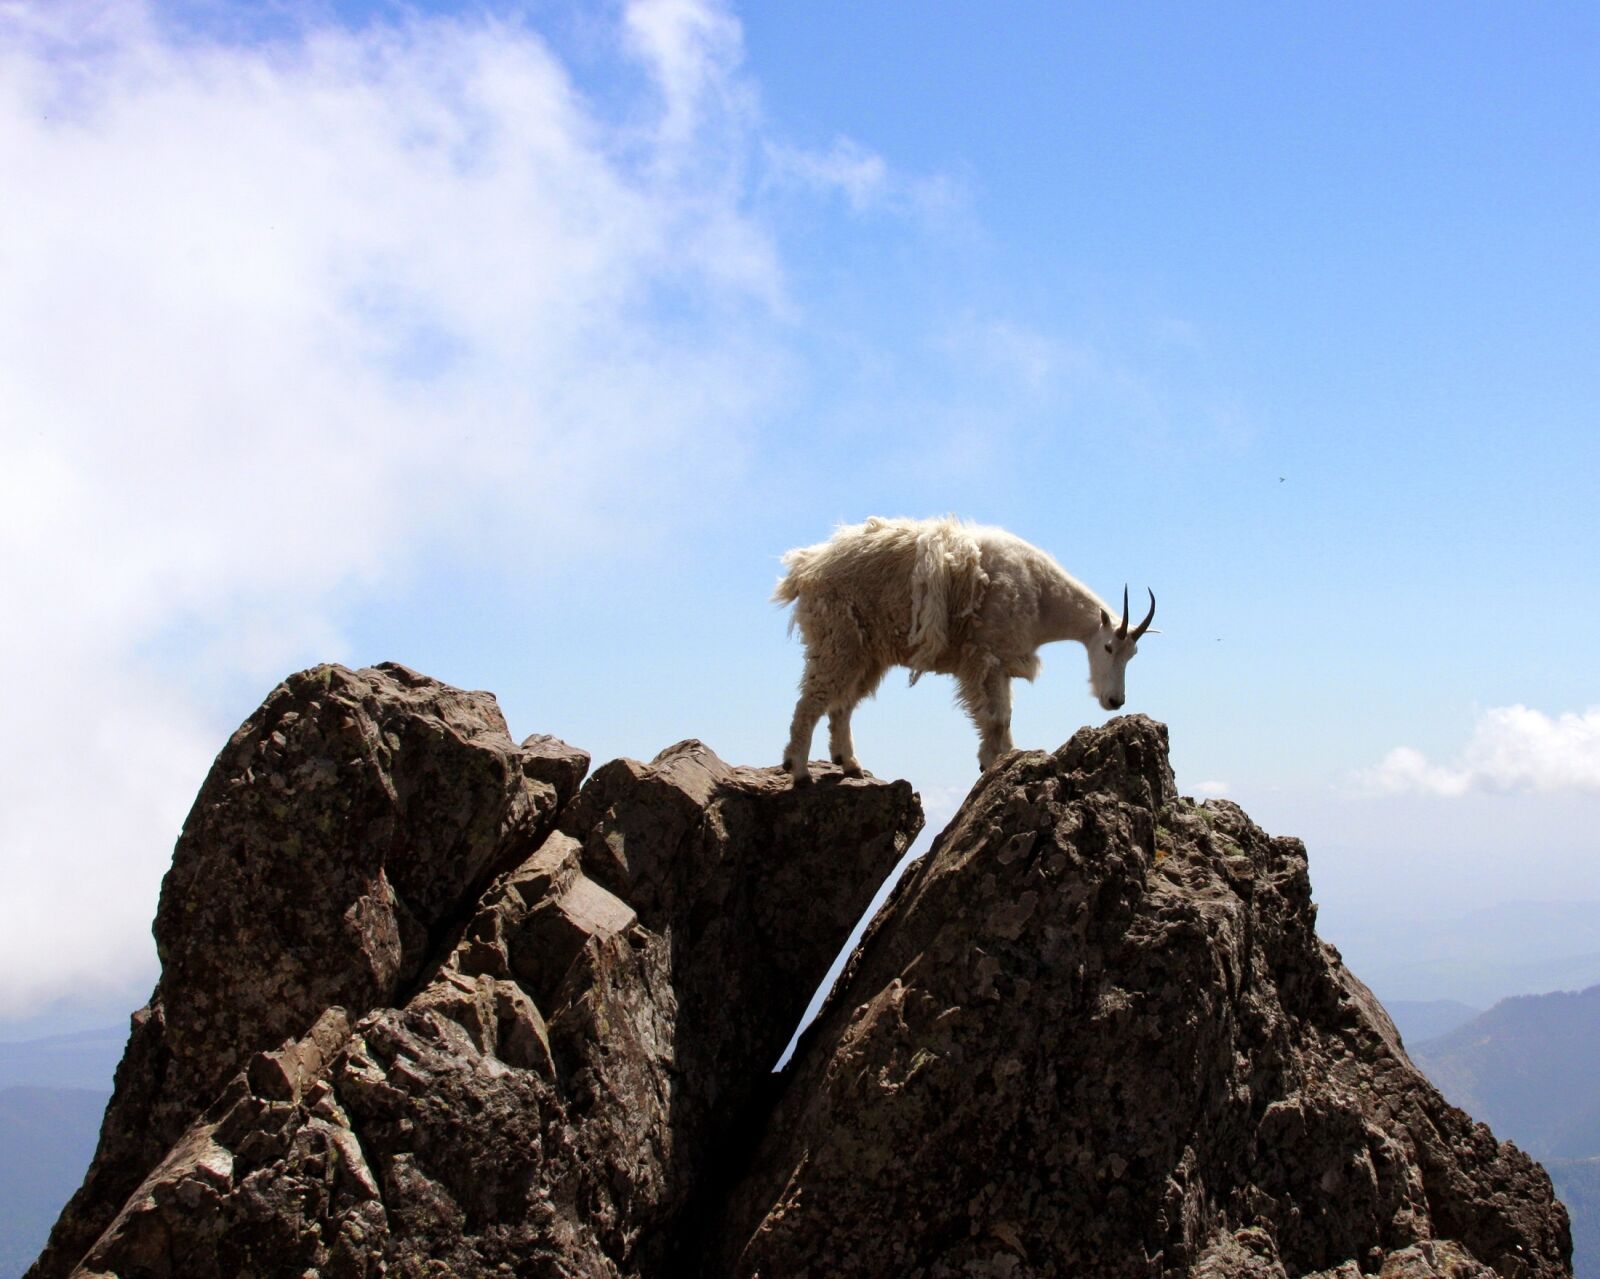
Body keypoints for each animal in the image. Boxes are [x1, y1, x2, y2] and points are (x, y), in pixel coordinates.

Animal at [773, 516, 1155, 783]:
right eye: (1108, 647)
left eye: (1132, 655)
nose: (1115, 701)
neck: (1042, 597)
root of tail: (805, 569)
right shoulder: (985, 658)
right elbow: (996, 717)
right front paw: (995, 763)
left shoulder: (1001, 662)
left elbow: (1004, 717)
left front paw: (1005, 758)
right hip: (837, 640)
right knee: (811, 701)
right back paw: (799, 770)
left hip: (867, 654)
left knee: (843, 705)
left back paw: (849, 764)